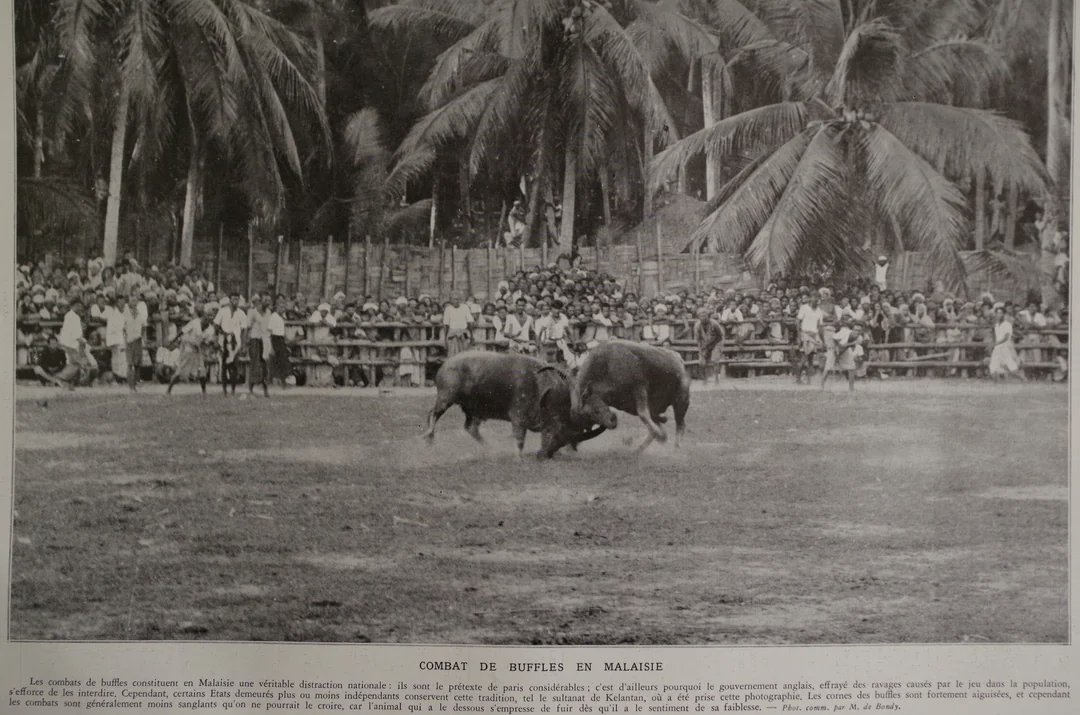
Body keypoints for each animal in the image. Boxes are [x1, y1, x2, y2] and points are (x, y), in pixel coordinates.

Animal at [423, 351, 609, 459]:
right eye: (559, 432)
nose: (544, 454)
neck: (541, 387)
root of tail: (446, 364)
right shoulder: (518, 418)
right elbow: (519, 440)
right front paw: (518, 457)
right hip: (446, 397)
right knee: (433, 414)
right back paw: (429, 438)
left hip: (472, 410)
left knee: (470, 427)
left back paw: (490, 448)